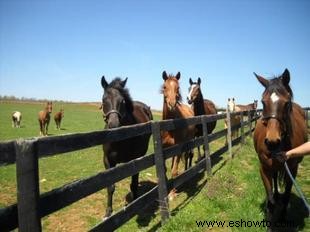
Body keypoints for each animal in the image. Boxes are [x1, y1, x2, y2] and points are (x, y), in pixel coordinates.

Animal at [100, 75, 153, 218]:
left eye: (122, 101)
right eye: (104, 99)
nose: (113, 125)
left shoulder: (134, 160)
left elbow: (133, 183)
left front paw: (135, 203)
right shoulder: (108, 161)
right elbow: (110, 187)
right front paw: (108, 212)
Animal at [253, 69, 306, 225]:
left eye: (287, 102)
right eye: (263, 102)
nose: (272, 142)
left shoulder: (293, 170)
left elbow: (287, 196)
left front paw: (282, 218)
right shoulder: (264, 168)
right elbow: (270, 200)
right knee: (275, 178)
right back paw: (277, 195)